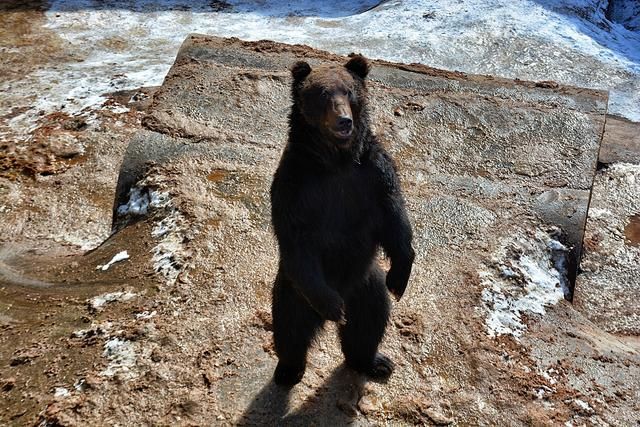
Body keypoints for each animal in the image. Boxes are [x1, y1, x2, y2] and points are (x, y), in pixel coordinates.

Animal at [268, 54, 416, 388]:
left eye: (349, 91)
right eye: (323, 94)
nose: (344, 121)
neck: (336, 161)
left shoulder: (374, 173)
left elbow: (395, 218)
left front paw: (399, 280)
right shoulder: (295, 185)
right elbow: (296, 235)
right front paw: (333, 306)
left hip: (367, 286)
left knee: (368, 325)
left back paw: (374, 362)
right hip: (295, 290)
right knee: (290, 327)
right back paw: (289, 368)